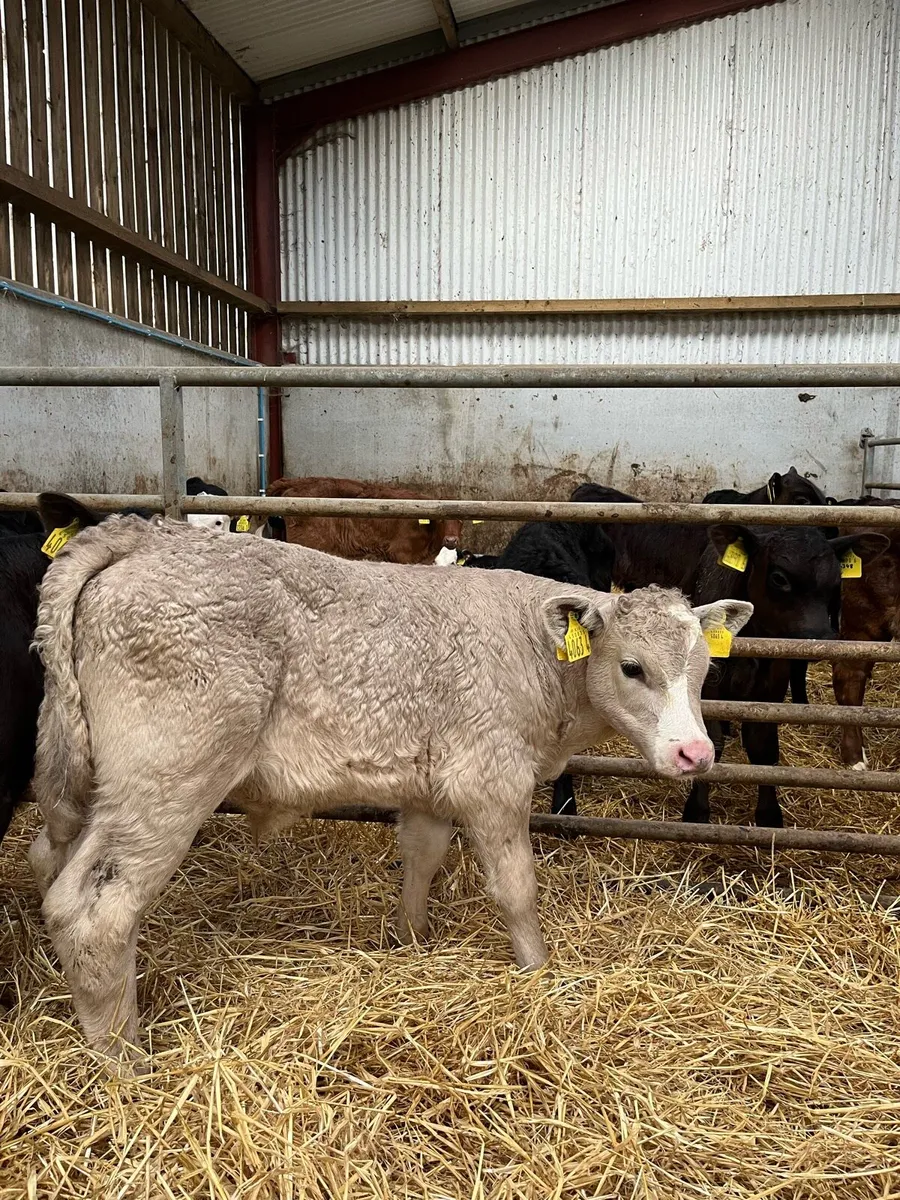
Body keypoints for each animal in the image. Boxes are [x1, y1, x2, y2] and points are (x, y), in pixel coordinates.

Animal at [29, 516, 751, 1060]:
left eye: (705, 668)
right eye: (632, 667)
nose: (695, 753)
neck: (536, 652)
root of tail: (145, 536)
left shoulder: (430, 787)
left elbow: (421, 862)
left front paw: (412, 942)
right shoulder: (492, 778)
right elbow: (516, 888)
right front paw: (539, 971)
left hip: (87, 778)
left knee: (49, 858)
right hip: (166, 780)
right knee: (93, 910)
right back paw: (122, 1059)